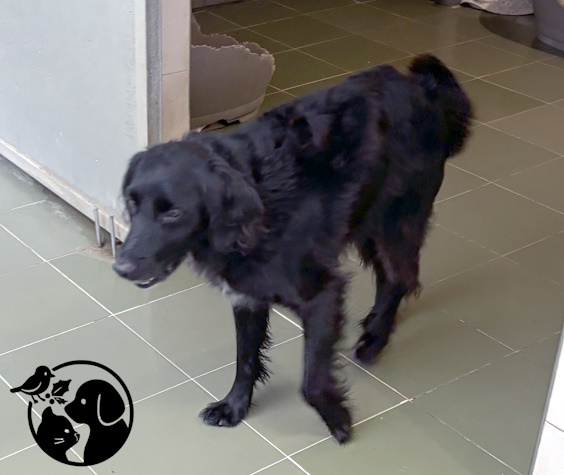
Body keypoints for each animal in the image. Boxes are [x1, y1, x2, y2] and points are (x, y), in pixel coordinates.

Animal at [113, 55, 472, 443]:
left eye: (174, 213)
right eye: (131, 203)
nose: (122, 268)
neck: (258, 204)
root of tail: (424, 88)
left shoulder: (322, 294)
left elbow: (310, 380)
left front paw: (338, 419)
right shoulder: (247, 297)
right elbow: (245, 359)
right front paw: (234, 407)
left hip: (395, 225)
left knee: (399, 279)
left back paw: (375, 341)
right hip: (366, 224)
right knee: (388, 277)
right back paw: (373, 322)